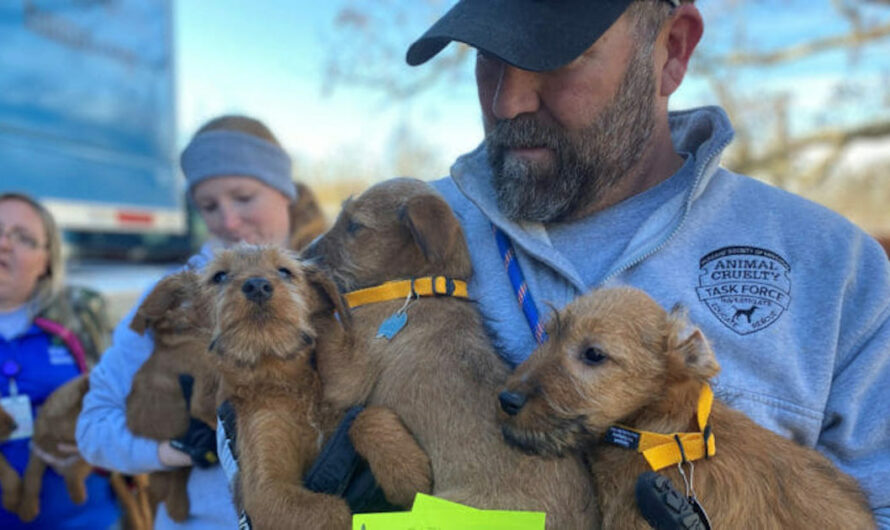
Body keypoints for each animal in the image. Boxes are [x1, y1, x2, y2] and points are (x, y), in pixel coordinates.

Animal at [17, 372, 94, 520]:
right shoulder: (37, 455)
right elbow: (31, 481)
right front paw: (28, 507)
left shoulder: (79, 458)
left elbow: (73, 473)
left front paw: (77, 493)